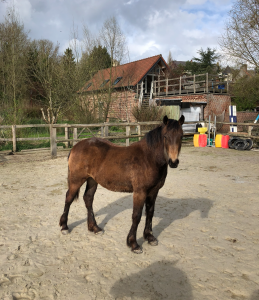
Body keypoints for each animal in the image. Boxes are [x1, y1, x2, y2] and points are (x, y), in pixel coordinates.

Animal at [59, 115, 185, 253]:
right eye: (165, 136)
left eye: (181, 136)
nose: (173, 162)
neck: (149, 158)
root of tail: (76, 146)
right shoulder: (140, 192)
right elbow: (136, 216)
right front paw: (133, 244)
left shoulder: (153, 191)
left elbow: (150, 213)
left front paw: (149, 237)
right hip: (76, 180)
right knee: (68, 198)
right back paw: (64, 227)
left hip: (92, 180)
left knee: (88, 199)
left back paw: (95, 228)